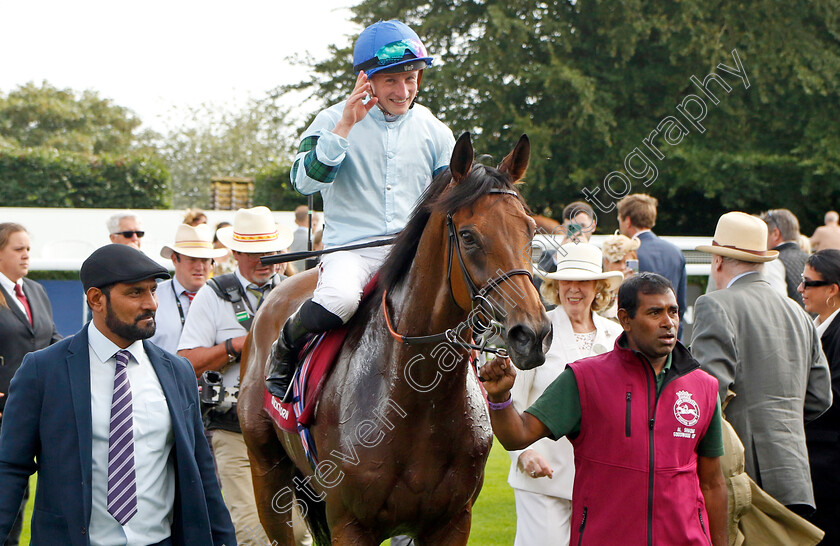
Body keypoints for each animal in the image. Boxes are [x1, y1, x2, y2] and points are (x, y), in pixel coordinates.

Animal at [236, 133, 552, 544]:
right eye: (468, 236)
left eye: (530, 230)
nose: (532, 333)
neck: (417, 398)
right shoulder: (350, 524)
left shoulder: (452, 521)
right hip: (267, 476)